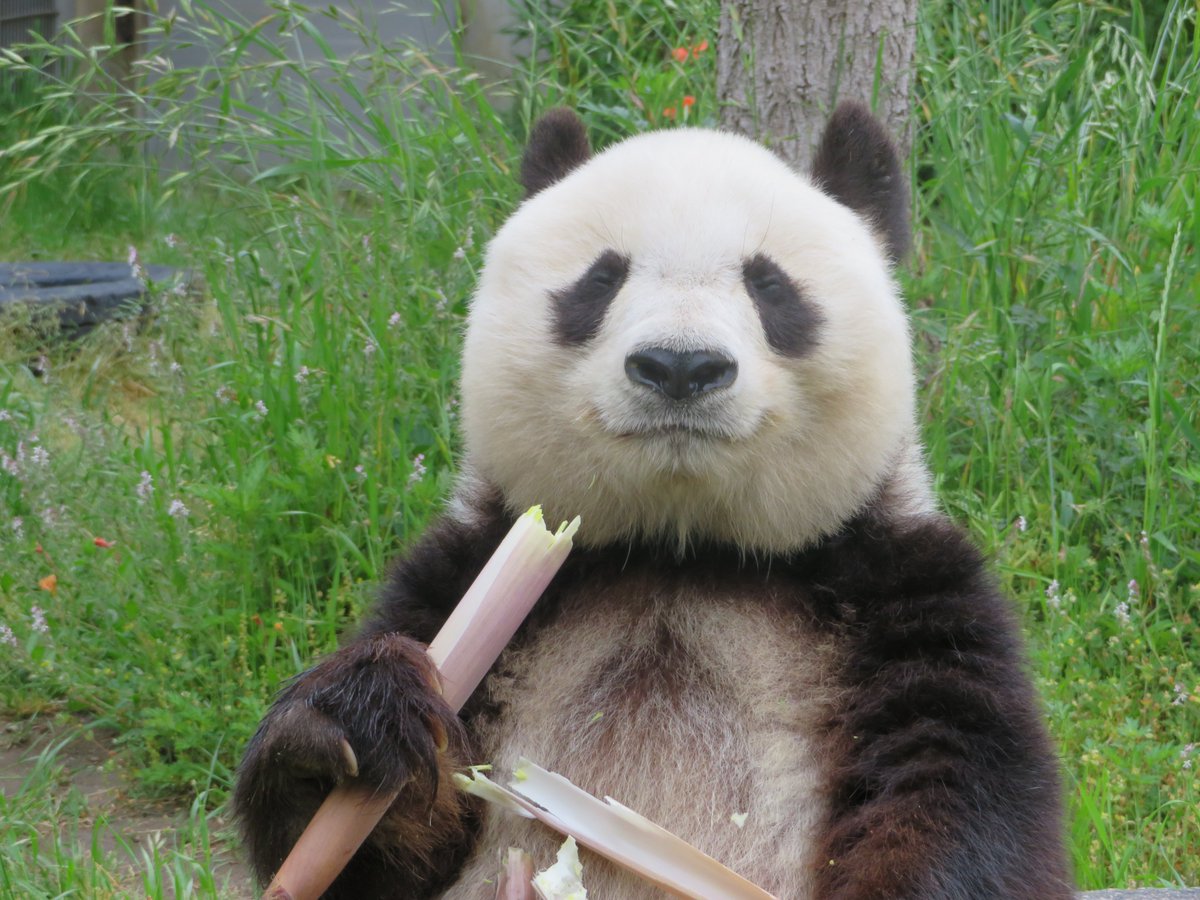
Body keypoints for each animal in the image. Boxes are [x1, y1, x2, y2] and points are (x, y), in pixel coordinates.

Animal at [231, 102, 1070, 897]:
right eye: (600, 280)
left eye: (769, 284)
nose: (680, 365)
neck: (680, 550)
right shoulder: (455, 581)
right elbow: (375, 861)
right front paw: (350, 725)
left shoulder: (907, 601)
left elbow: (960, 802)